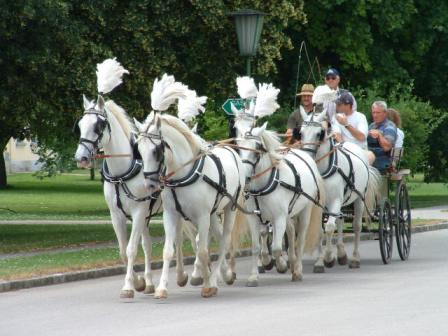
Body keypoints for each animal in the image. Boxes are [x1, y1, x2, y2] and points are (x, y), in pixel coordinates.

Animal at [136, 113, 245, 300]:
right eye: (139, 150)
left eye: (156, 150)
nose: (150, 184)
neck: (183, 175)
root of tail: (230, 149)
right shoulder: (171, 215)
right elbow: (168, 251)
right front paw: (161, 288)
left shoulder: (202, 216)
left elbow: (202, 251)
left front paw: (207, 285)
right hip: (213, 214)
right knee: (218, 236)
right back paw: (225, 274)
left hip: (229, 208)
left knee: (224, 240)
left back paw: (215, 279)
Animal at [233, 114, 324, 284]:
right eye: (239, 147)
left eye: (257, 149)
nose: (245, 178)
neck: (262, 185)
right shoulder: (254, 218)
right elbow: (256, 246)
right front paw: (254, 276)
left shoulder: (279, 217)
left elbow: (276, 247)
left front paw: (281, 264)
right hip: (288, 212)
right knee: (291, 231)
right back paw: (293, 263)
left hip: (304, 211)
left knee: (300, 239)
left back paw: (298, 270)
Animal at [300, 110, 380, 270]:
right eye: (300, 133)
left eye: (319, 133)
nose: (307, 156)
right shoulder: (320, 204)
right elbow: (321, 230)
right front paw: (320, 261)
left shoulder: (335, 200)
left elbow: (330, 227)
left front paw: (328, 258)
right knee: (341, 220)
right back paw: (342, 254)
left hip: (358, 199)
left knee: (356, 226)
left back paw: (355, 258)